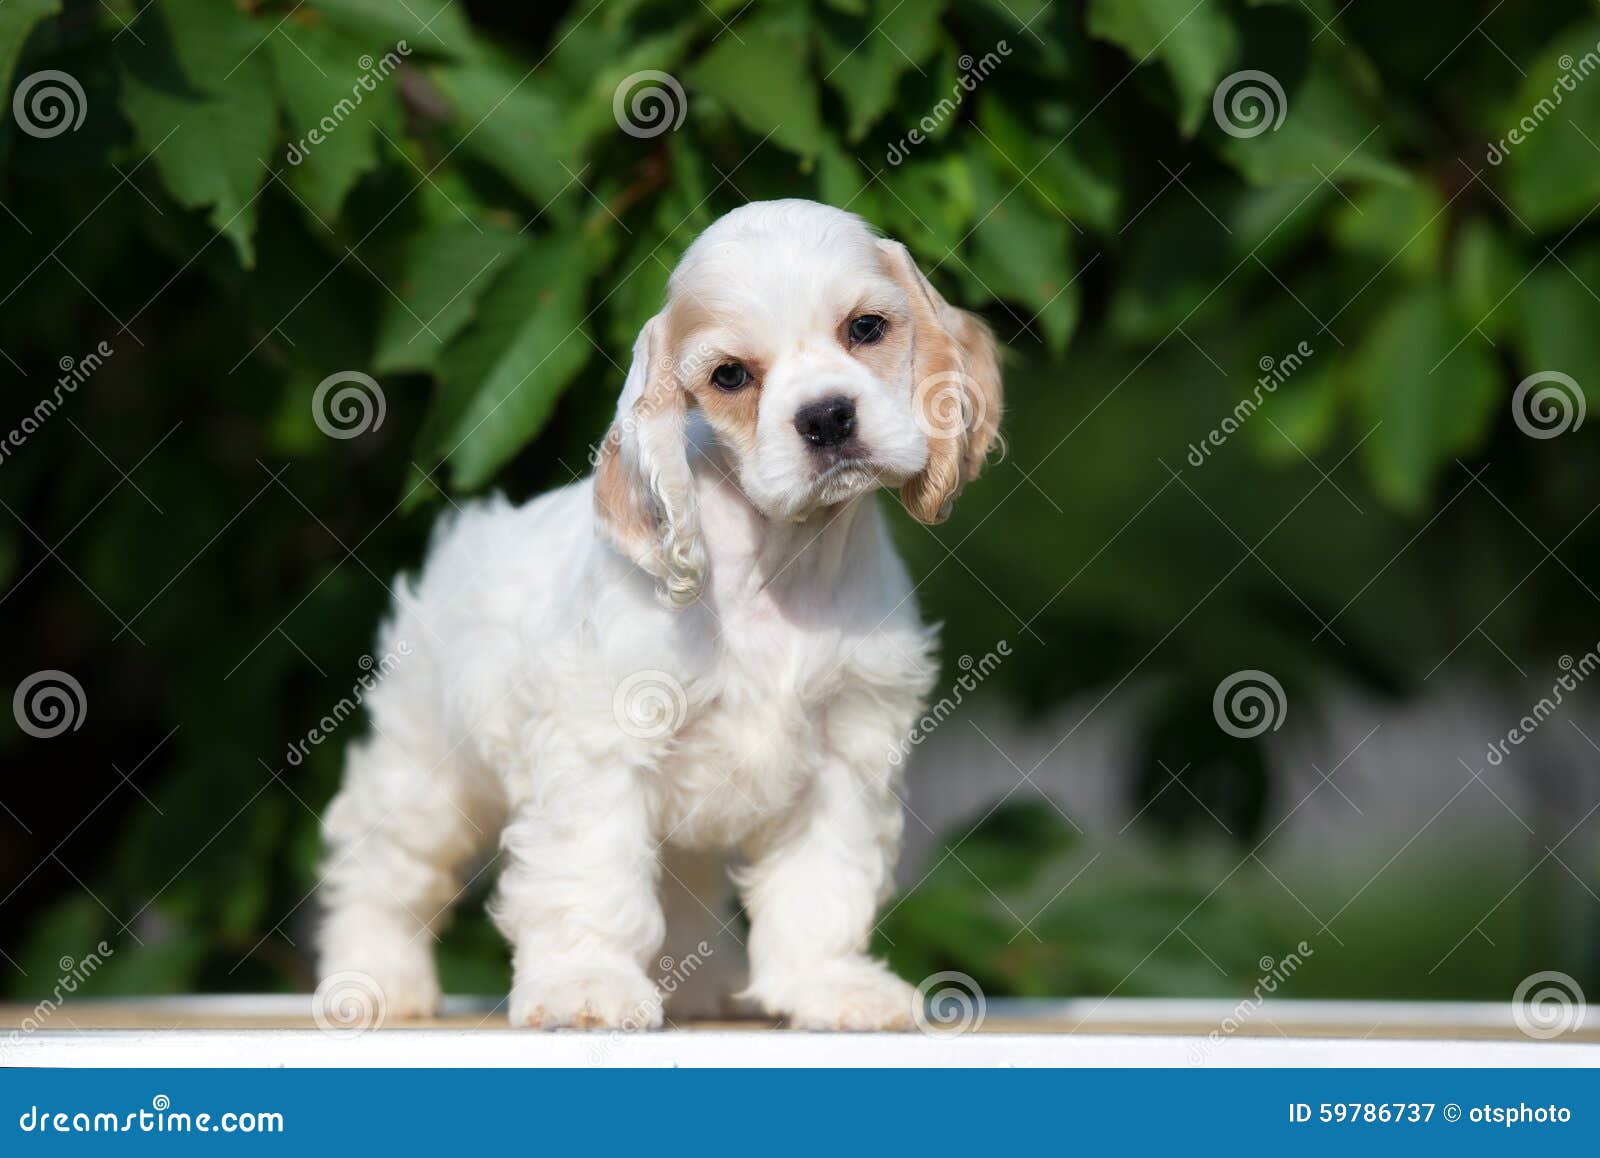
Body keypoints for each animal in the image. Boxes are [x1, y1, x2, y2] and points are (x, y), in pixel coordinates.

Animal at [315, 199, 998, 1030]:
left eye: (866, 328)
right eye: (730, 375)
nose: (827, 417)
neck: (778, 565)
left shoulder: (848, 750)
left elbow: (820, 885)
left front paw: (832, 986)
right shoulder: (601, 744)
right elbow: (593, 875)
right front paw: (587, 986)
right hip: (429, 773)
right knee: (383, 869)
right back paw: (375, 980)